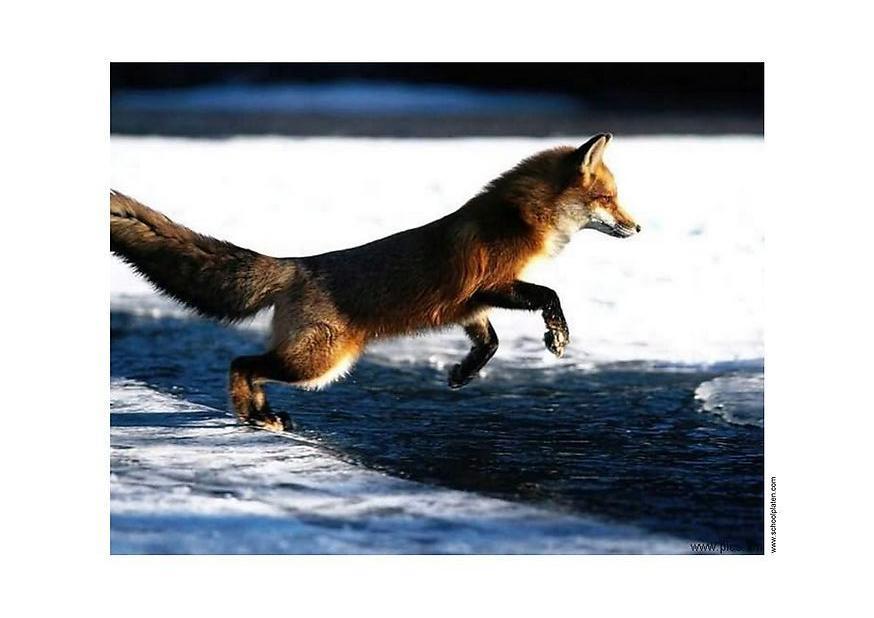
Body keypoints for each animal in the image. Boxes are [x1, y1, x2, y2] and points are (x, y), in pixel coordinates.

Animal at [110, 133, 640, 432]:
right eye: (609, 199)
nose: (638, 228)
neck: (521, 218)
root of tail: (297, 263)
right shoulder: (487, 286)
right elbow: (549, 296)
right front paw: (558, 337)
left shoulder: (469, 308)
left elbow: (489, 343)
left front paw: (463, 374)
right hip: (319, 364)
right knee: (242, 362)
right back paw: (256, 414)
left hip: (314, 362)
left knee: (248, 365)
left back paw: (260, 413)